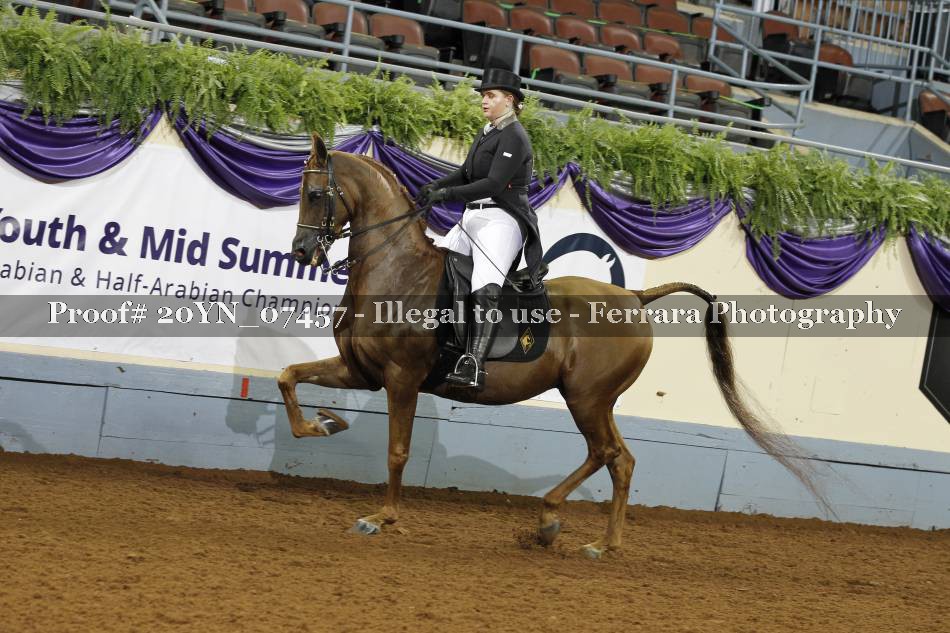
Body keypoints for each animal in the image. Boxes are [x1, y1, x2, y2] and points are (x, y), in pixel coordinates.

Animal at [278, 134, 828, 559]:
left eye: (314, 193)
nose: (301, 252)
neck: (397, 271)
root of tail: (634, 298)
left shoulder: (402, 378)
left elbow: (397, 450)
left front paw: (383, 517)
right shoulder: (360, 370)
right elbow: (289, 377)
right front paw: (323, 424)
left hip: (587, 397)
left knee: (609, 454)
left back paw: (564, 527)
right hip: (593, 399)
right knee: (616, 458)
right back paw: (584, 536)